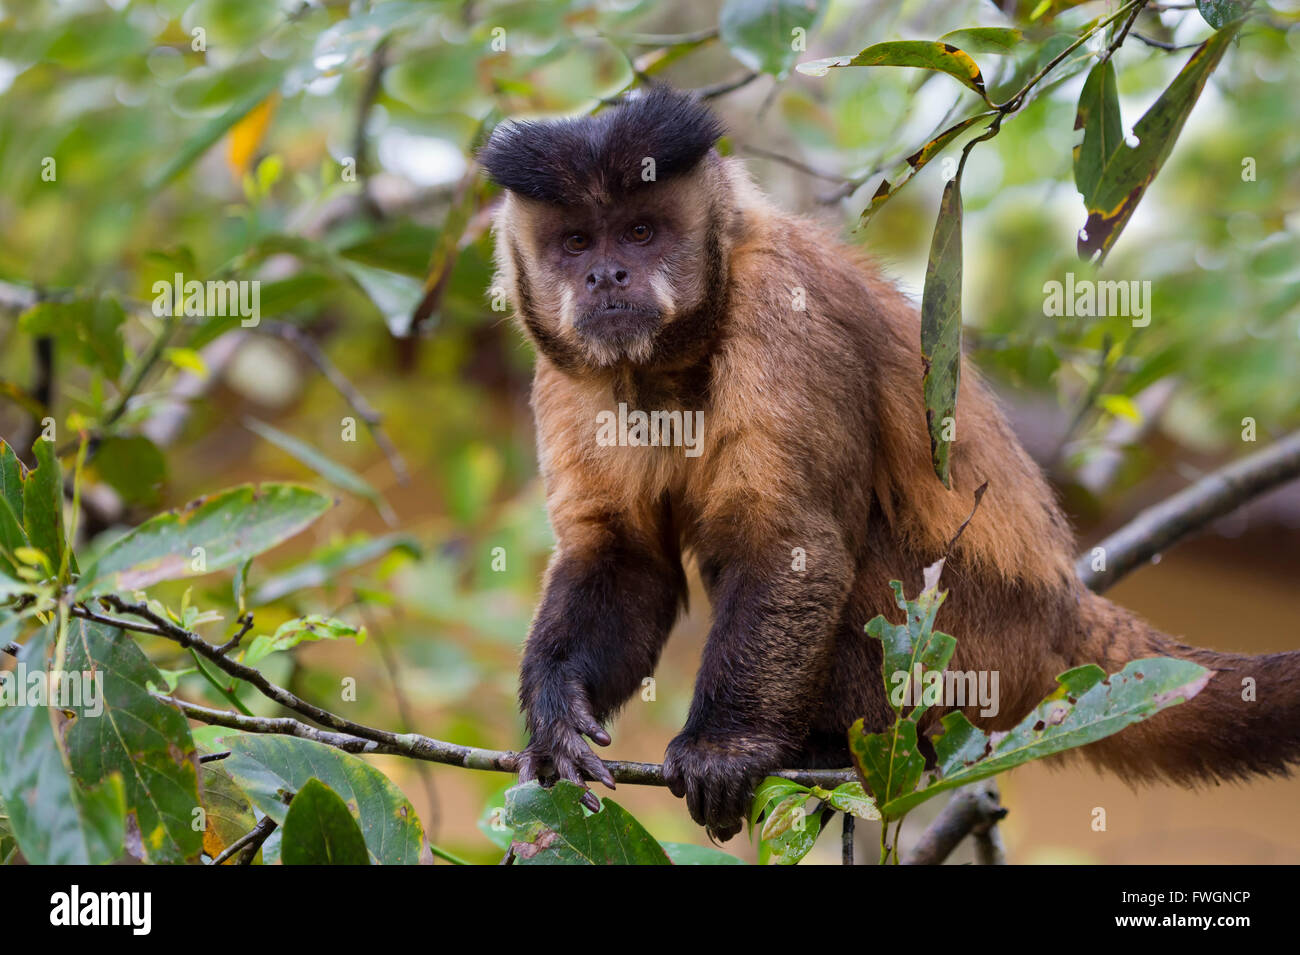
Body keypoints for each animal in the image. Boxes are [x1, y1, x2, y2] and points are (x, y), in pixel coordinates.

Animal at [475, 85, 1300, 841]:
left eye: (641, 232)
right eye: (577, 243)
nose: (606, 277)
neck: (676, 360)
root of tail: (1059, 605)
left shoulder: (784, 305)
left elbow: (794, 541)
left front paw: (723, 746)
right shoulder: (566, 372)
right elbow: (624, 554)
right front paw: (555, 715)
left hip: (977, 642)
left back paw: (834, 747)